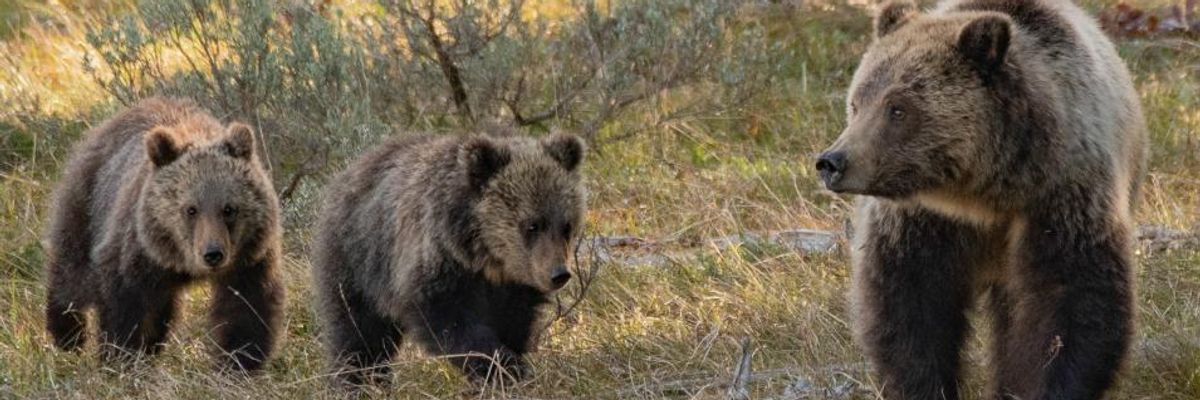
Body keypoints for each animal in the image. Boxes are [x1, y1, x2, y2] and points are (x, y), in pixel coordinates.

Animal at [44, 97, 285, 372]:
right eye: (191, 209)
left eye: (229, 209)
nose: (213, 254)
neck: (180, 260)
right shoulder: (137, 251)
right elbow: (126, 307)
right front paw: (122, 356)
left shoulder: (249, 258)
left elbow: (246, 309)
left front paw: (238, 362)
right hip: (88, 201)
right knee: (71, 272)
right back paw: (67, 334)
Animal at [311, 131, 587, 386]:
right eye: (532, 225)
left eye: (566, 226)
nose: (559, 274)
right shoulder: (437, 265)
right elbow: (453, 324)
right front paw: (502, 367)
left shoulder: (514, 289)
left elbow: (514, 324)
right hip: (358, 261)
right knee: (359, 334)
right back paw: (358, 381)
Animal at [815, 0, 1147, 398]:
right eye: (856, 103)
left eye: (898, 108)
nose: (832, 162)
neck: (983, 194)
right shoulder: (920, 218)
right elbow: (908, 305)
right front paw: (925, 385)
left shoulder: (1063, 196)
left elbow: (1072, 301)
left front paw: (1041, 384)